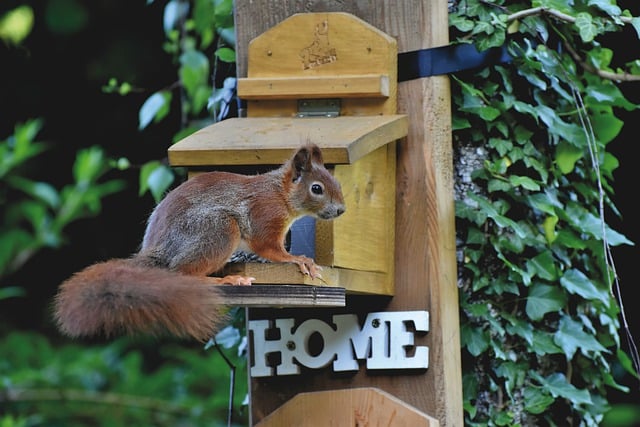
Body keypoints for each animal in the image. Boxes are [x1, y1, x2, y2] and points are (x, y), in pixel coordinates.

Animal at [53, 143, 346, 342]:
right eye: (316, 188)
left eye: (338, 182)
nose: (341, 210)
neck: (281, 195)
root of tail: (160, 250)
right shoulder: (264, 215)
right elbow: (270, 249)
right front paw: (300, 260)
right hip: (218, 229)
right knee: (183, 273)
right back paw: (226, 279)